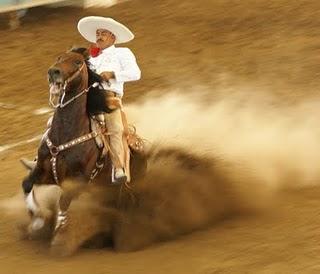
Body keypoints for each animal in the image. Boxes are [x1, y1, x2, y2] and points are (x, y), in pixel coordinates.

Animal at [21, 48, 148, 246]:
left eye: (78, 62)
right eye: (59, 58)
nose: (53, 72)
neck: (65, 134)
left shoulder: (78, 181)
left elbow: (63, 202)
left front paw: (58, 237)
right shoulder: (45, 172)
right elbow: (27, 184)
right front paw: (38, 221)